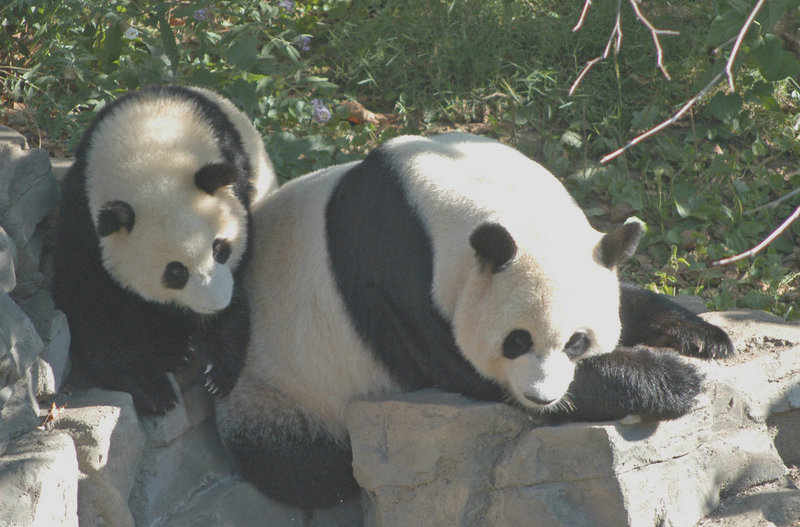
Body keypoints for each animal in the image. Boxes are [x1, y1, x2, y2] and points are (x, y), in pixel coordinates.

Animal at [54, 84, 278, 416]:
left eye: (220, 250)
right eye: (175, 272)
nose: (215, 304)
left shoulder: (239, 196)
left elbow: (238, 286)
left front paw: (218, 372)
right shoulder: (82, 214)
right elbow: (91, 301)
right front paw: (153, 389)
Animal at [216, 134, 736, 510]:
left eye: (576, 342)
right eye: (517, 341)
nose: (541, 397)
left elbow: (625, 299)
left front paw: (704, 338)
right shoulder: (393, 277)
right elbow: (462, 370)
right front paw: (672, 380)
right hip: (276, 388)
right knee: (303, 465)